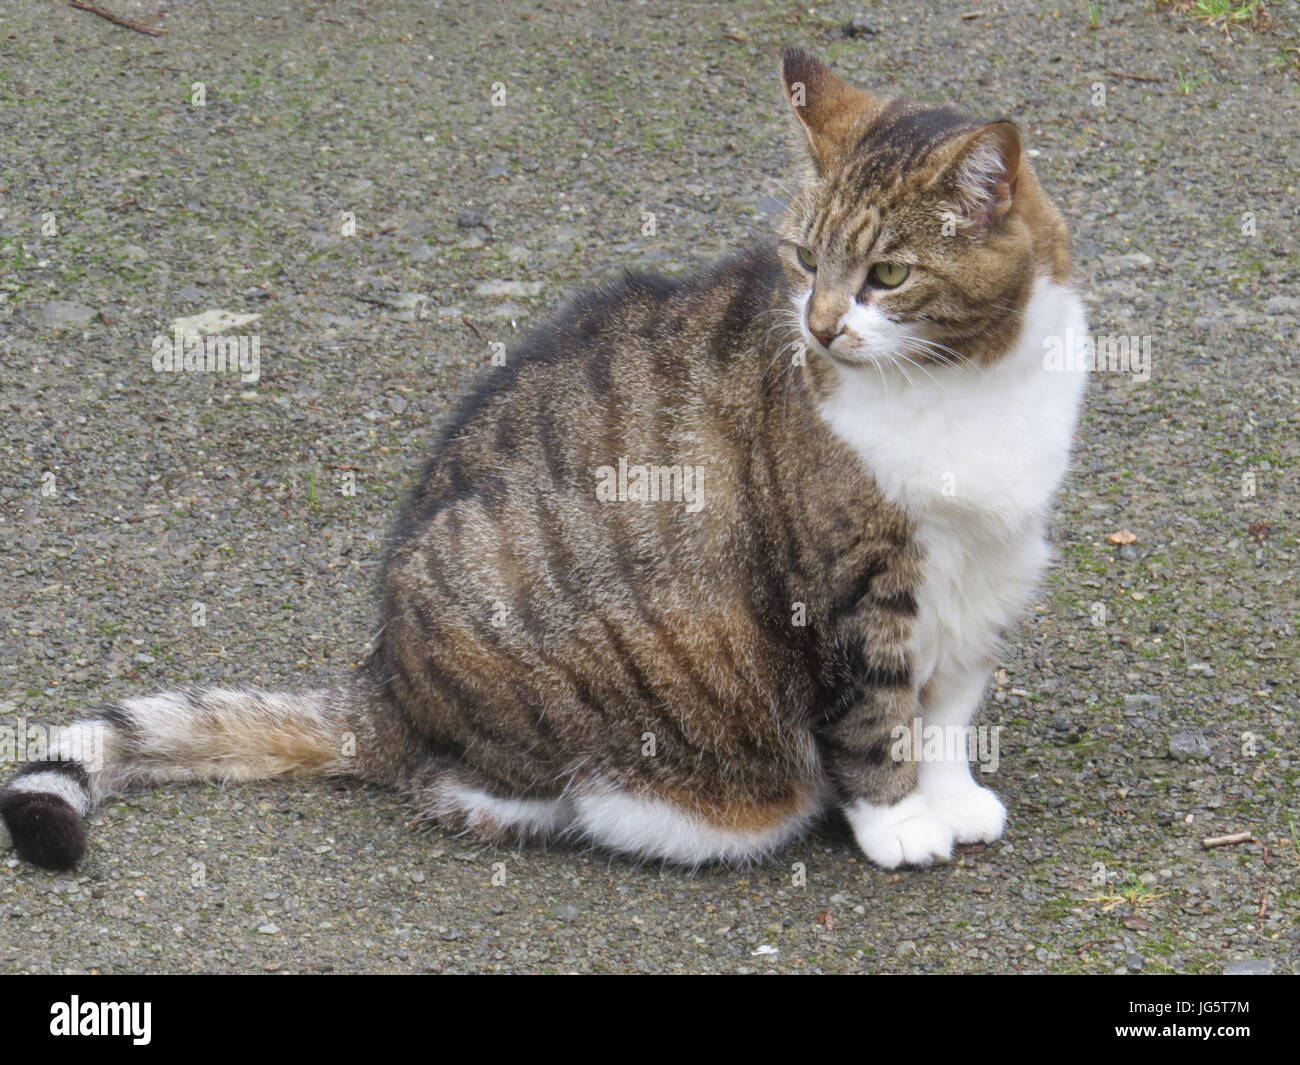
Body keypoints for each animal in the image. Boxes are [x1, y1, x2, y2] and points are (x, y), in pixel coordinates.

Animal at [0, 50, 1086, 873]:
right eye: (804, 260)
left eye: (888, 274)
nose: (819, 330)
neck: (965, 383)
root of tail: (384, 684)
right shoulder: (852, 590)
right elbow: (875, 718)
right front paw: (900, 823)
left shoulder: (987, 576)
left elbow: (948, 710)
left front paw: (950, 795)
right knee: (471, 785)